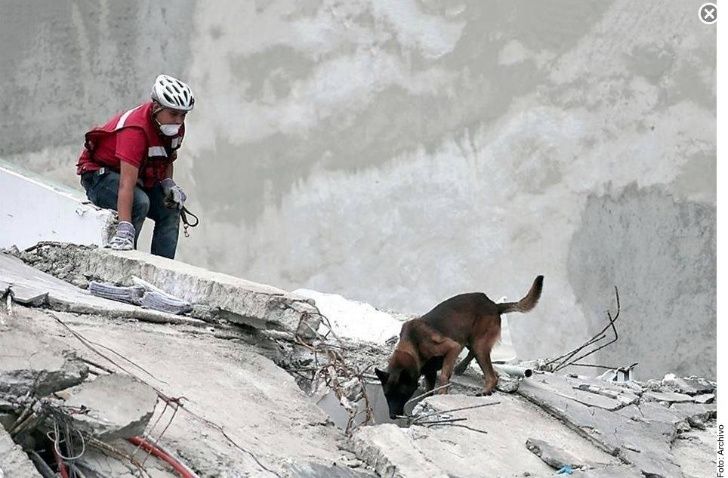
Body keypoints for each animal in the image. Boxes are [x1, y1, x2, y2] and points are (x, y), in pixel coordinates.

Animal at [376, 276, 540, 418]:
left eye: (401, 394)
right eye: (386, 395)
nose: (392, 416)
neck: (412, 344)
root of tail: (494, 305)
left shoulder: (451, 348)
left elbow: (443, 376)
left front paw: (442, 396)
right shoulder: (429, 372)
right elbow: (429, 390)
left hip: (478, 343)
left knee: (491, 375)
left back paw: (485, 390)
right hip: (469, 339)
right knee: (474, 353)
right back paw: (462, 367)